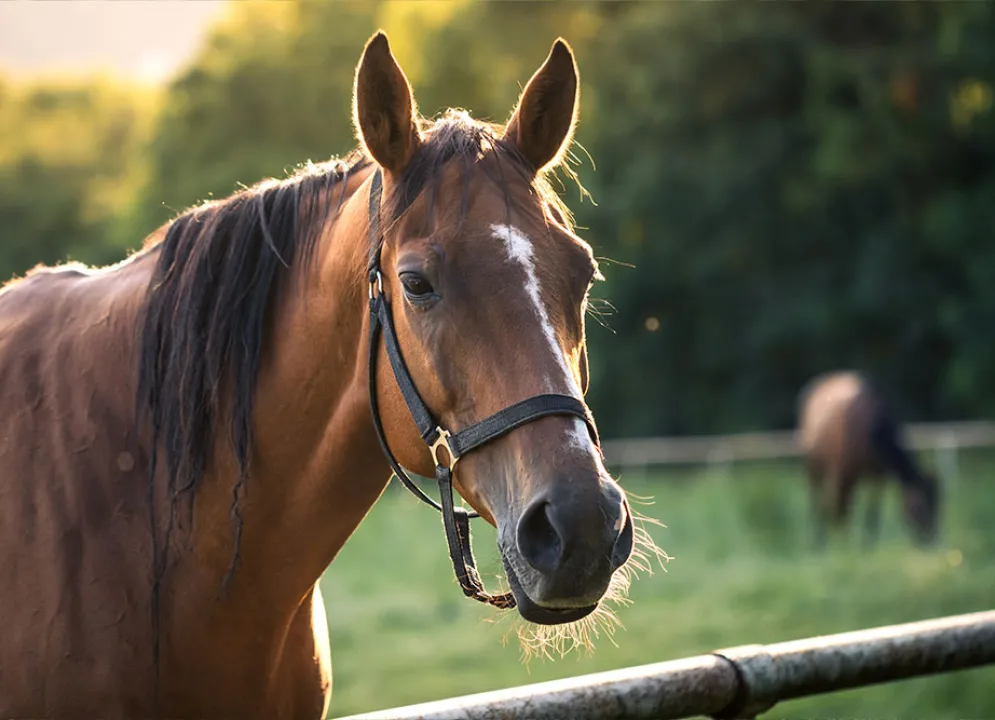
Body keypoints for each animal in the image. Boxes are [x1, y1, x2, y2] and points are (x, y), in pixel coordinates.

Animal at [792, 368, 940, 548]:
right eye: (920, 507)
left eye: (937, 507)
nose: (930, 540)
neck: (871, 429)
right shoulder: (846, 473)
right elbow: (844, 508)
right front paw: (844, 543)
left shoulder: (879, 476)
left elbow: (873, 508)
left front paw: (868, 542)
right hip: (814, 467)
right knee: (817, 500)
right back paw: (819, 540)